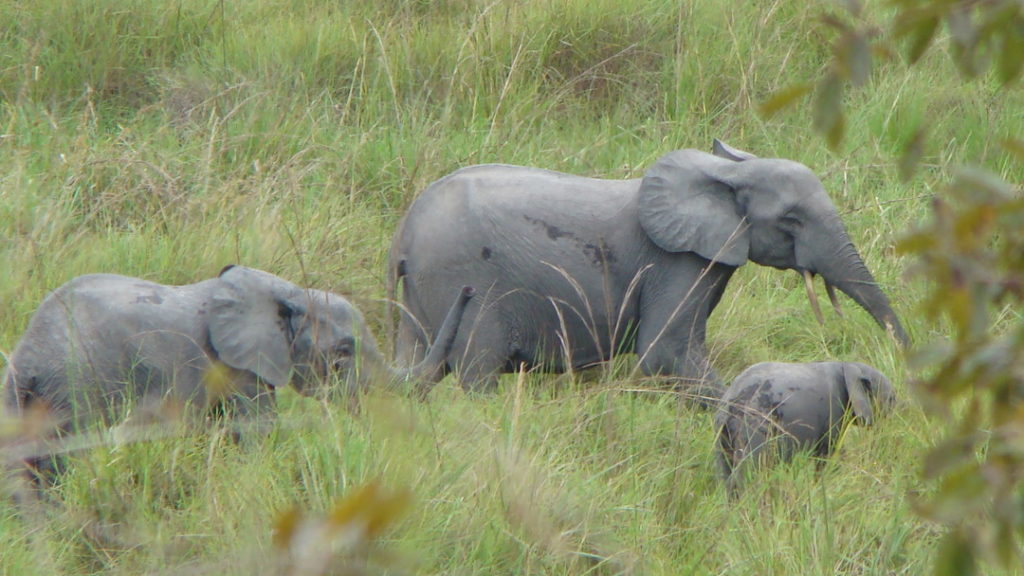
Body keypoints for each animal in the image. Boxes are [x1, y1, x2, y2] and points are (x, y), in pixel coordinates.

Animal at [387, 139, 909, 399]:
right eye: (791, 220)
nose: (904, 354)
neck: (726, 175)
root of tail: (404, 238)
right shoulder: (675, 262)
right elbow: (665, 353)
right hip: (463, 283)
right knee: (477, 374)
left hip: (420, 295)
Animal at [716, 360, 892, 491]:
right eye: (891, 399)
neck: (847, 364)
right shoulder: (834, 408)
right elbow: (829, 454)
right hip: (757, 425)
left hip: (722, 431)